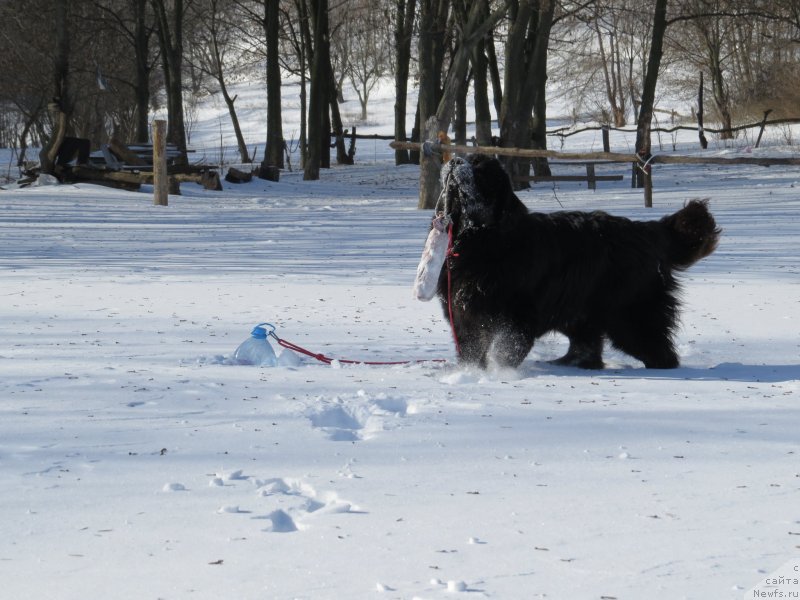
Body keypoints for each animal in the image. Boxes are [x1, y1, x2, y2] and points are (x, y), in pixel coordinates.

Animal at [416, 154, 720, 370]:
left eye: (479, 167)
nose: (455, 160)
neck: (481, 238)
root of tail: (648, 230)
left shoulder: (515, 313)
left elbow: (507, 346)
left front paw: (497, 373)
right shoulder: (463, 312)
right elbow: (471, 348)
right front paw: (471, 372)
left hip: (629, 313)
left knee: (656, 347)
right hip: (581, 308)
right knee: (587, 343)